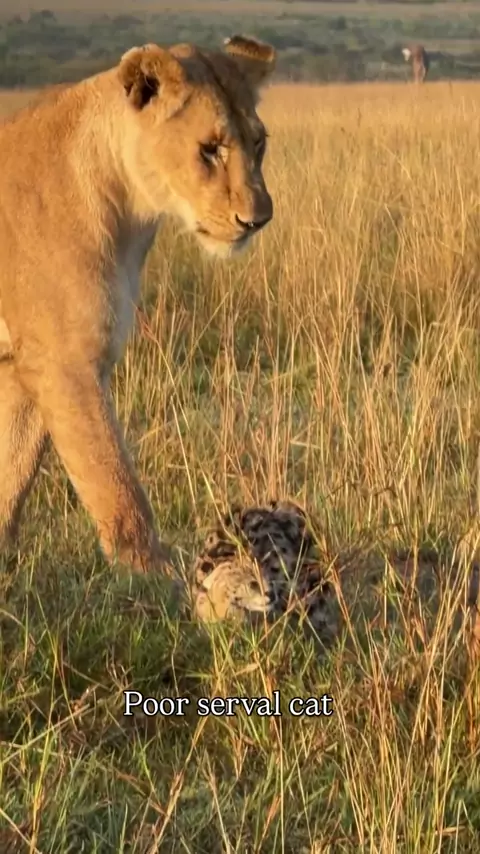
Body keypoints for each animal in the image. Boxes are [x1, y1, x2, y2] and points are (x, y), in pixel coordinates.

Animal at [0, 36, 276, 574]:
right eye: (209, 149)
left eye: (259, 143)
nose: (257, 220)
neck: (130, 213)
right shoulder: (64, 360)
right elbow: (112, 478)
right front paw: (154, 573)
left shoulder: (23, 365)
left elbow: (12, 471)